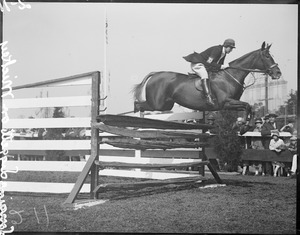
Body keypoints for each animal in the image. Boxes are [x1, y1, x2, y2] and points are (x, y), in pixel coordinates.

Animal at [132, 41, 282, 121]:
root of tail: (155, 75)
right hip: (158, 104)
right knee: (139, 105)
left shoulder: (230, 104)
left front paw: (245, 124)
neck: (230, 76)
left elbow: (248, 107)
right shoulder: (226, 102)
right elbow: (247, 105)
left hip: (166, 105)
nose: (278, 73)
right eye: (267, 56)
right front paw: (244, 124)